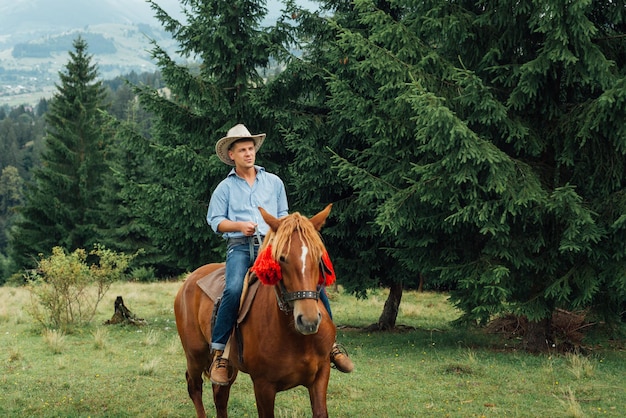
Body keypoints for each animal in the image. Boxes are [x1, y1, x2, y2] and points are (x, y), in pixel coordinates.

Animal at [173, 205, 334, 418]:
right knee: (194, 386)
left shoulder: (320, 376)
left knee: (220, 394)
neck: (296, 338)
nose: (308, 321)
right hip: (195, 355)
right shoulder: (263, 385)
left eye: (318, 256)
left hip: (228, 365)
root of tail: (189, 280)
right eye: (281, 258)